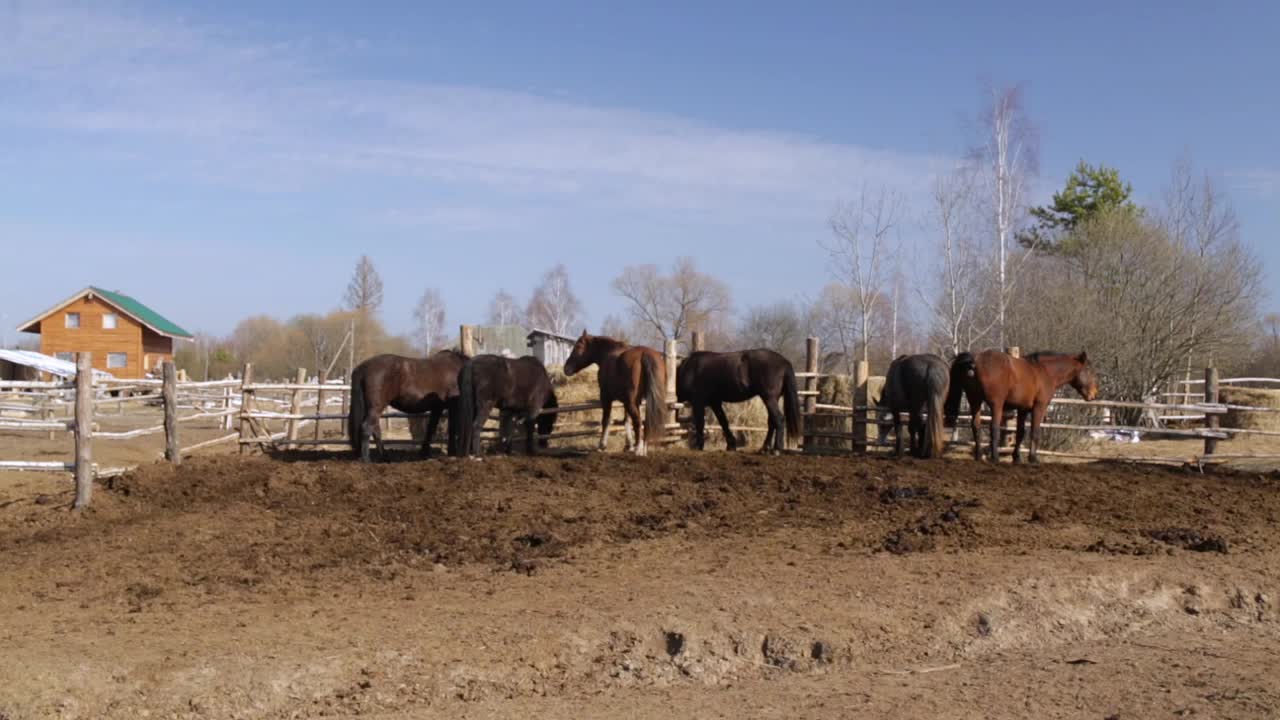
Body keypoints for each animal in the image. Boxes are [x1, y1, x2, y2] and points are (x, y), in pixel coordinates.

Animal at [942, 348, 1100, 461]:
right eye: (1088, 370)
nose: (1094, 394)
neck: (1044, 371)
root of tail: (974, 360)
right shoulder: (1039, 407)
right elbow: (1035, 432)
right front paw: (1033, 458)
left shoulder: (1023, 409)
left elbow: (1020, 433)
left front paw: (1016, 457)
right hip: (996, 405)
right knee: (994, 428)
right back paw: (995, 457)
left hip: (974, 402)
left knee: (976, 426)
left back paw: (978, 456)